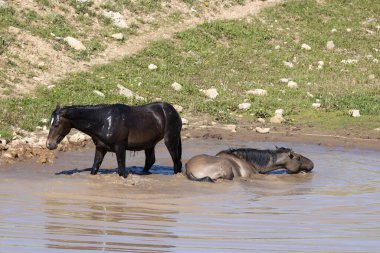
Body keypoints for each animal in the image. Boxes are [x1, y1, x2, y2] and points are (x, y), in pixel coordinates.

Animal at [46, 101, 183, 178]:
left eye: (56, 124)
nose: (49, 144)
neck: (103, 121)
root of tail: (173, 111)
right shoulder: (101, 148)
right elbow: (94, 168)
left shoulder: (120, 148)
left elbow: (122, 171)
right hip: (149, 144)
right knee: (150, 161)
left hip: (170, 140)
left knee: (176, 162)